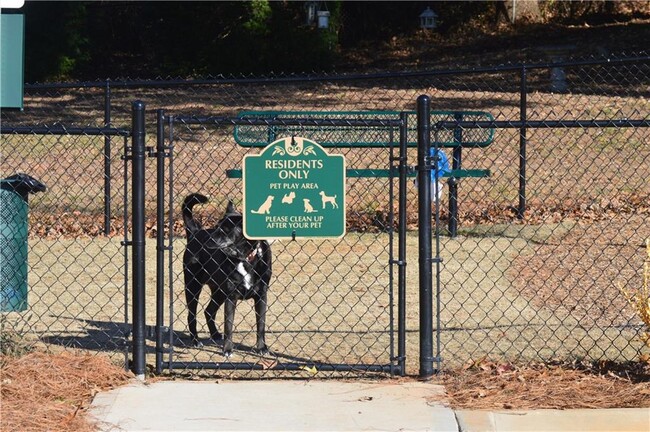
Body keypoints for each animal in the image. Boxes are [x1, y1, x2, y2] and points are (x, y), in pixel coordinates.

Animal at [181, 194, 272, 356]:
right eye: (216, 226)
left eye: (225, 230)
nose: (208, 240)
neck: (244, 258)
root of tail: (195, 232)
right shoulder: (231, 296)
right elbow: (228, 325)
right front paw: (228, 349)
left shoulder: (261, 295)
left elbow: (261, 324)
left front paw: (262, 348)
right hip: (193, 286)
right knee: (191, 315)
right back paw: (196, 341)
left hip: (218, 292)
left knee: (209, 311)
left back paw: (215, 334)